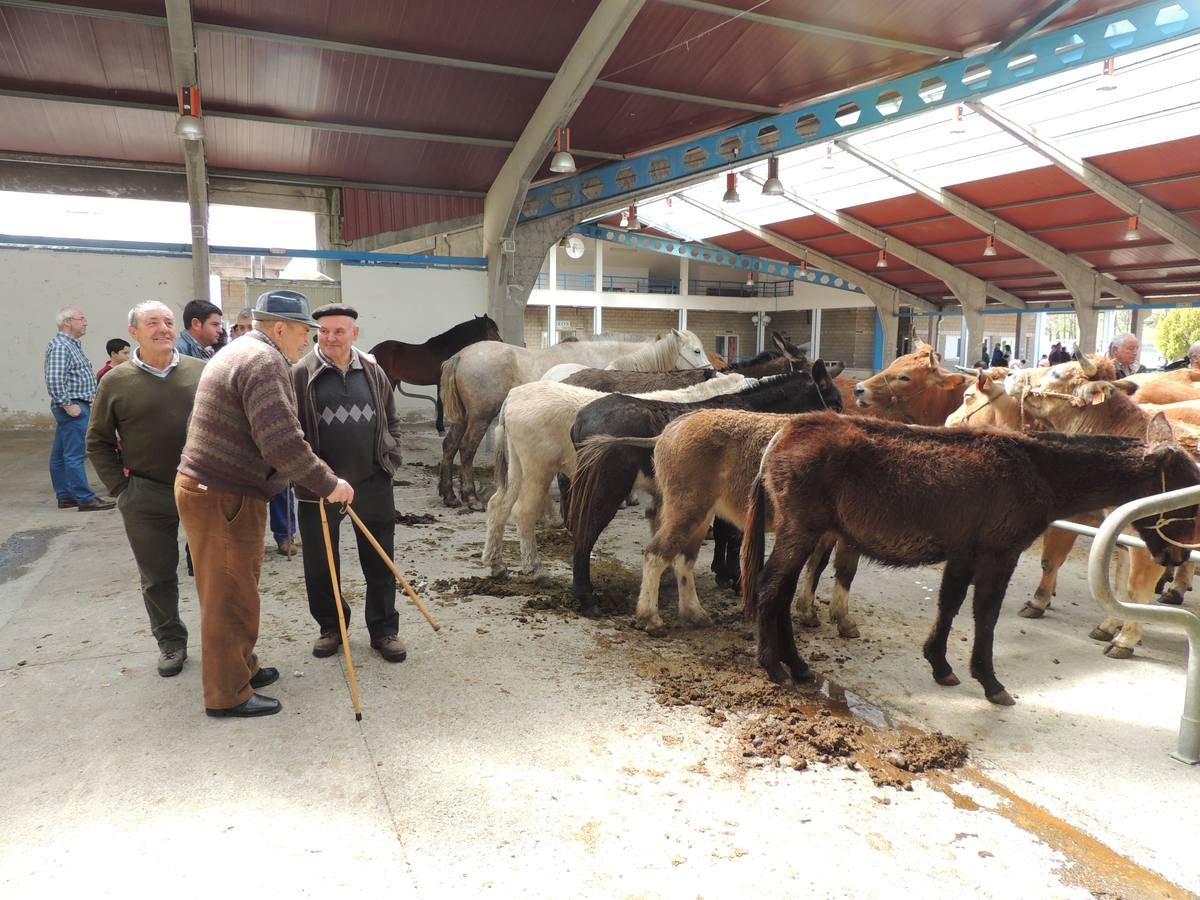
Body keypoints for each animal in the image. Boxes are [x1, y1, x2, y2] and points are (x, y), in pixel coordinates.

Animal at [364, 314, 496, 434]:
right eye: (493, 329)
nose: (500, 341)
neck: (445, 349)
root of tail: (372, 351)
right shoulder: (441, 382)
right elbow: (440, 403)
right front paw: (441, 428)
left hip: (391, 380)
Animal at [480, 374, 744, 578]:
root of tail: (514, 396)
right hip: (538, 469)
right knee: (524, 511)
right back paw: (534, 567)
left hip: (518, 467)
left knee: (498, 506)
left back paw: (496, 564)